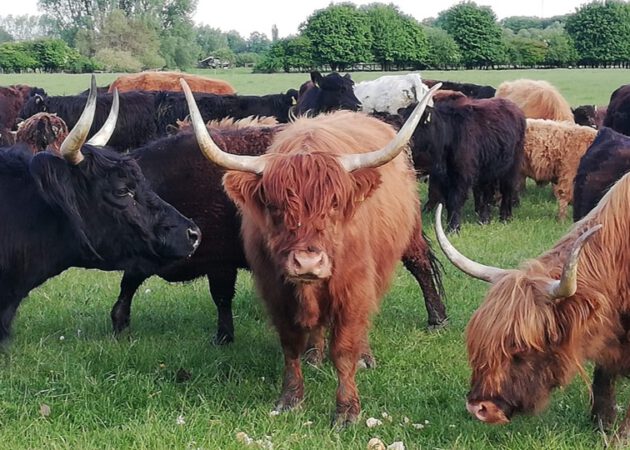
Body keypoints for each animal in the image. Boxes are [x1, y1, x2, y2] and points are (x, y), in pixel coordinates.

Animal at [113, 117, 450, 344]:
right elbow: (129, 282)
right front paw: (119, 323)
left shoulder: (220, 261)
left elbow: (221, 297)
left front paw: (223, 337)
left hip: (408, 235)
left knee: (421, 265)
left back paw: (437, 317)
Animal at [183, 79, 440, 428]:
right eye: (274, 206)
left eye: (334, 204)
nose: (308, 262)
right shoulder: (276, 289)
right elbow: (290, 344)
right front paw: (290, 399)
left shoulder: (354, 288)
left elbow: (344, 348)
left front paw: (346, 411)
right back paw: (314, 355)